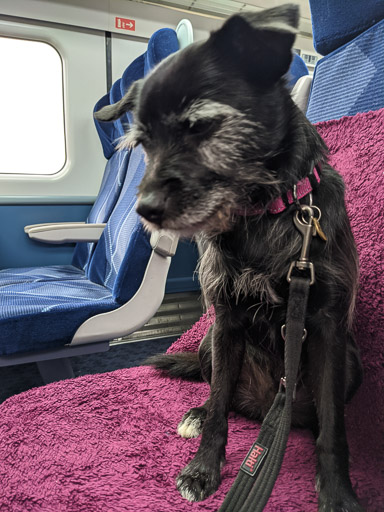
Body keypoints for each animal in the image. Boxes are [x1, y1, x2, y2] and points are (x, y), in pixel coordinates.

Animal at [95, 5, 364, 512]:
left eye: (201, 125)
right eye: (144, 142)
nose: (144, 211)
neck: (266, 212)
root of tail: (263, 406)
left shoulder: (326, 327)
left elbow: (335, 427)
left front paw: (338, 492)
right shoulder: (225, 318)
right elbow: (219, 403)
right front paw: (204, 468)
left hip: (351, 363)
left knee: (315, 413)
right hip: (209, 341)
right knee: (219, 391)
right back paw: (199, 413)